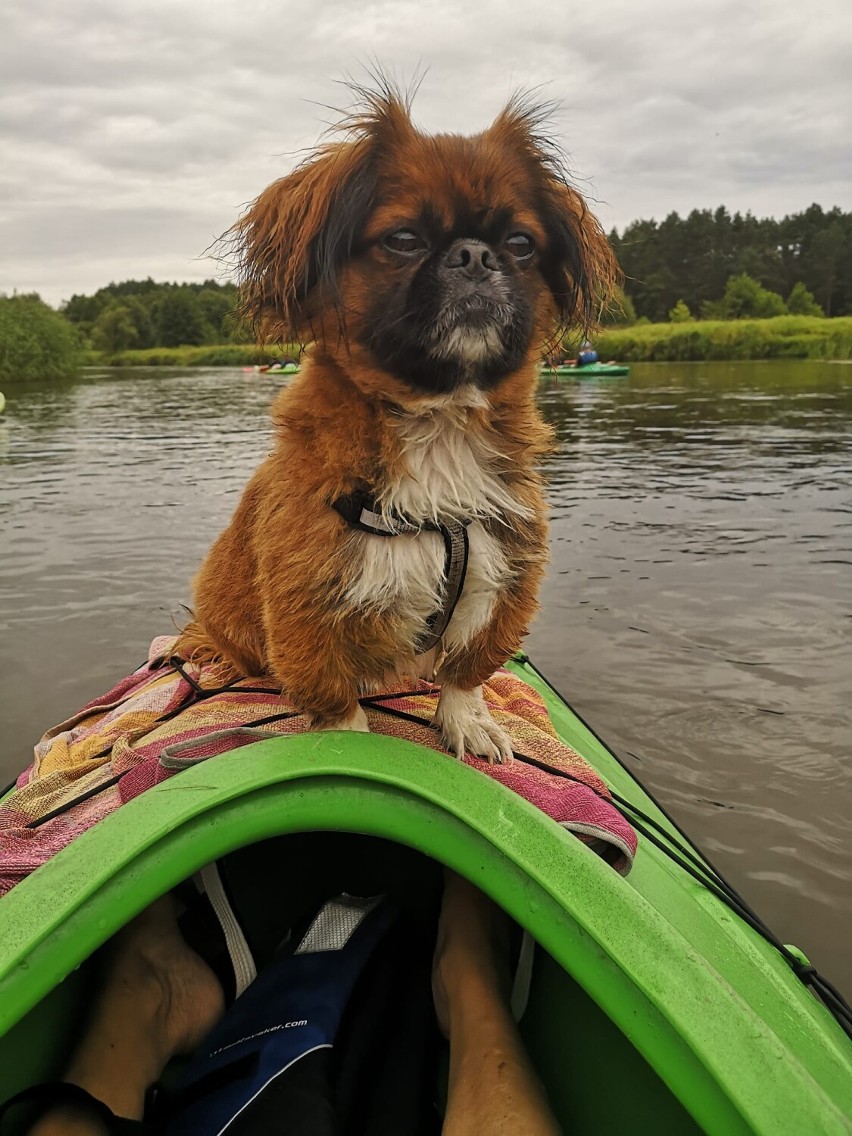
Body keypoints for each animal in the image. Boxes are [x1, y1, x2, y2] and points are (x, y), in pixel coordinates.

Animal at [178, 86, 622, 763]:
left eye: (521, 243)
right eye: (405, 239)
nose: (475, 254)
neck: (441, 424)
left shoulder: (506, 579)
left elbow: (466, 671)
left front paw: (468, 722)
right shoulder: (309, 610)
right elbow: (336, 703)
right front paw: (350, 748)